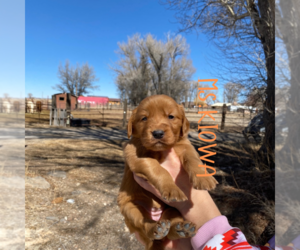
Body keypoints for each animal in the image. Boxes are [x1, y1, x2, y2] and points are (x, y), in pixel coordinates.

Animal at [118, 94, 218, 249]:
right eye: (144, 118)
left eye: (171, 116)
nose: (158, 133)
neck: (160, 151)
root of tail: (156, 214)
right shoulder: (135, 155)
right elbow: (157, 168)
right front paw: (172, 189)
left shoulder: (185, 145)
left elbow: (194, 159)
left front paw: (204, 178)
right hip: (130, 209)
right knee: (146, 226)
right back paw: (157, 228)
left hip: (172, 210)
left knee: (170, 229)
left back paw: (182, 229)